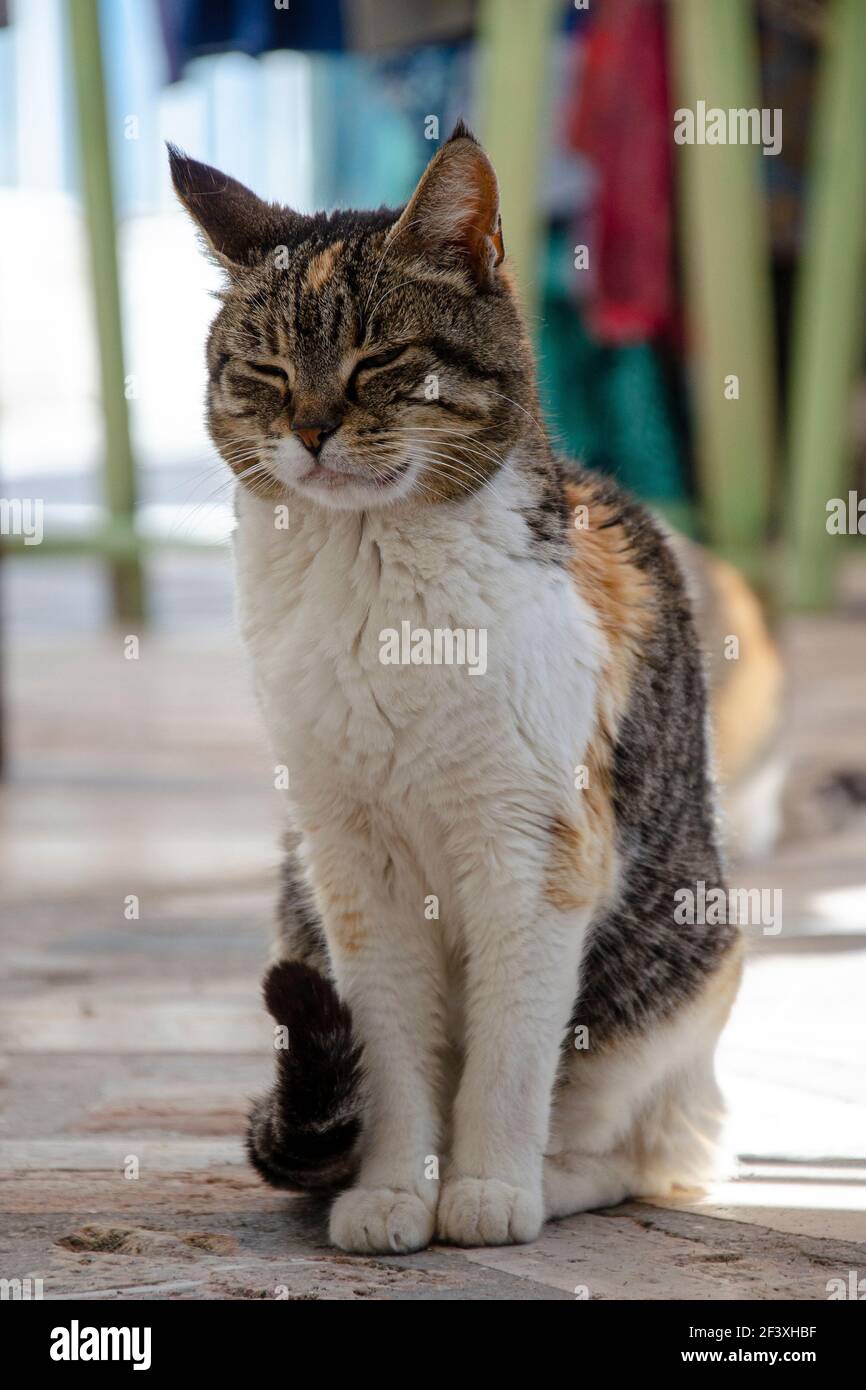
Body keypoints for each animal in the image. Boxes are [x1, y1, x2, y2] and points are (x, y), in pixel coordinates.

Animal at [170, 122, 745, 1262]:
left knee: (650, 1153)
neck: (377, 584)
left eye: (379, 360)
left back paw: (553, 1177)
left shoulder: (534, 851)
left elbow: (507, 1056)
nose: (310, 427)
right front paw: (396, 1191)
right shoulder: (350, 862)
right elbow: (389, 1050)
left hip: (680, 972)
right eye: (263, 368)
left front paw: (482, 1190)